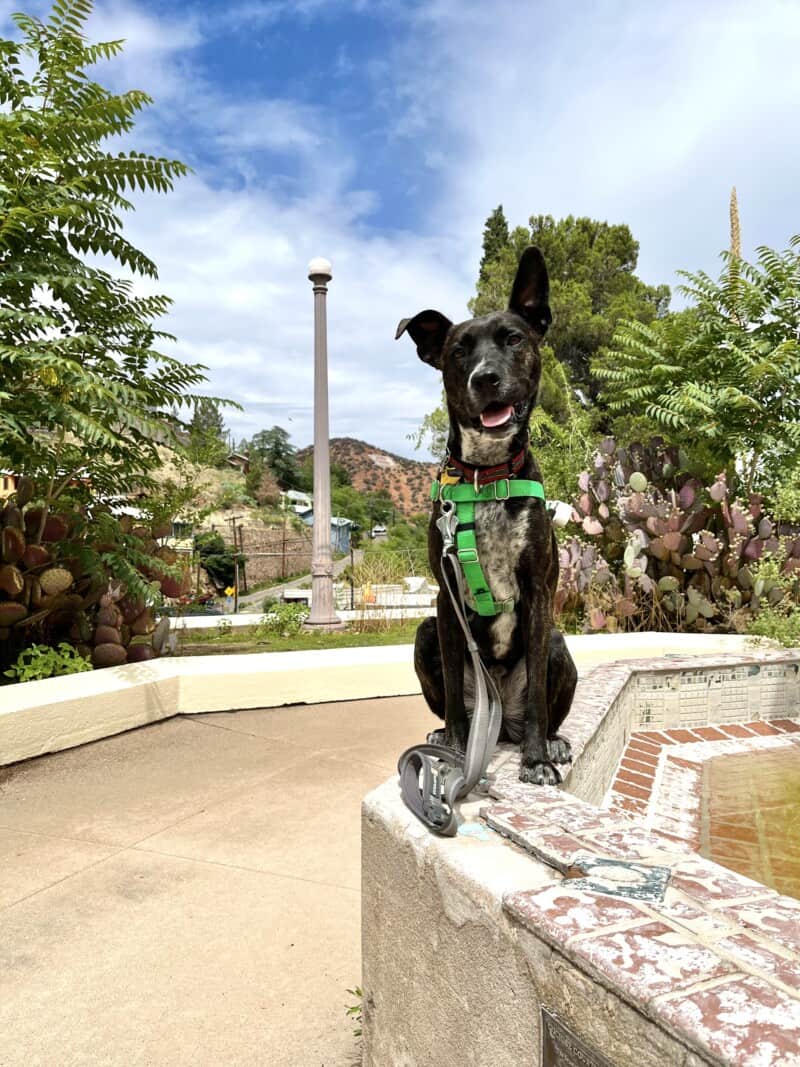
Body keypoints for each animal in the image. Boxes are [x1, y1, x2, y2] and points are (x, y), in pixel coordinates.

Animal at [398, 245, 576, 789]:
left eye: (513, 338)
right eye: (458, 351)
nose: (486, 378)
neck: (486, 476)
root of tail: (499, 726)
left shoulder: (538, 592)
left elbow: (539, 700)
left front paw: (536, 761)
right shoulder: (446, 599)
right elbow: (456, 700)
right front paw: (454, 751)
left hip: (558, 642)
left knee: (542, 708)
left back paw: (551, 742)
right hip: (425, 634)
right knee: (453, 704)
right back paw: (444, 735)